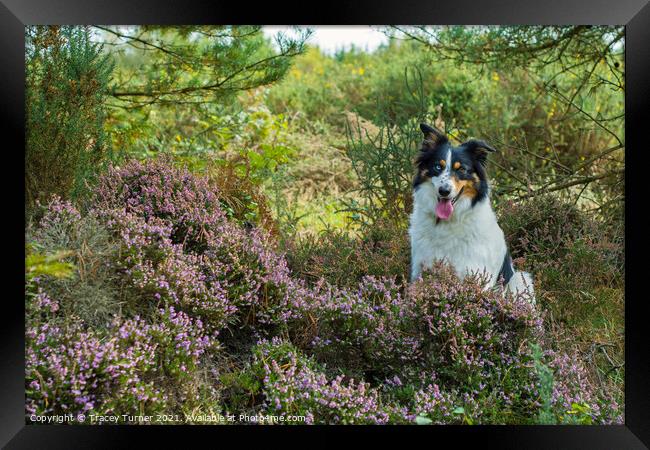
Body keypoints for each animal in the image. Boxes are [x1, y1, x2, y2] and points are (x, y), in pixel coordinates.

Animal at [410, 123, 532, 300]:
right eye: (438, 166)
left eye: (461, 169)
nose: (444, 191)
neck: (448, 221)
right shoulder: (420, 268)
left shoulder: (476, 274)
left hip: (521, 280)